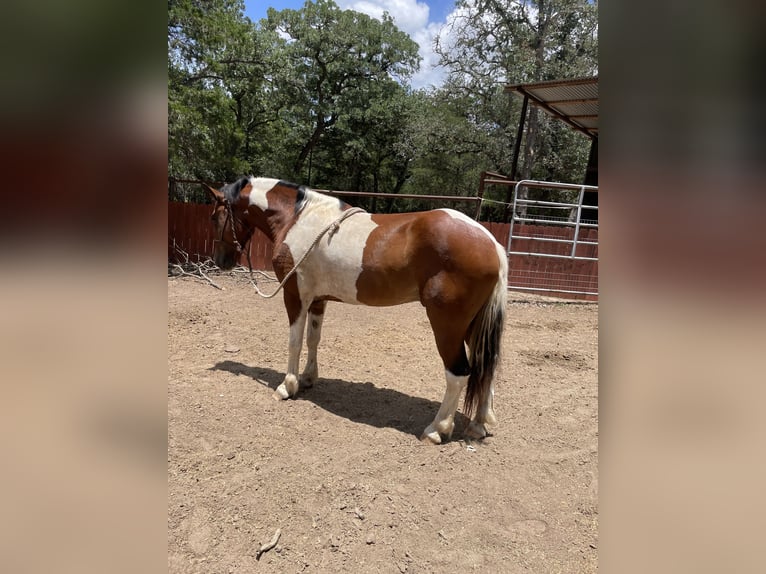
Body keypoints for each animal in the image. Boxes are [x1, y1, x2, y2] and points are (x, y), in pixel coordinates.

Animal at [205, 176, 508, 444]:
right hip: (473, 326)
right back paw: (478, 425)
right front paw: (307, 378)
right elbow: (313, 339)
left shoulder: (295, 296)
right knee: (487, 366)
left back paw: (438, 429)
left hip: (448, 325)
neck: (297, 219)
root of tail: (491, 243)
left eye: (215, 216)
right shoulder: (318, 299)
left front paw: (287, 386)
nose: (221, 261)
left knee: (458, 373)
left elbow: (294, 342)